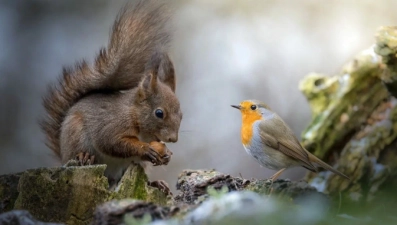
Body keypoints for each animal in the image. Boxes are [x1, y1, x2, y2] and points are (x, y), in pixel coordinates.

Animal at [38, 0, 181, 190]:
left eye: (181, 114)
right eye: (159, 113)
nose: (173, 138)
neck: (134, 115)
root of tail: (62, 155)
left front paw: (167, 155)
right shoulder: (112, 125)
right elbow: (111, 142)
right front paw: (145, 149)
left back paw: (156, 183)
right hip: (75, 136)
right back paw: (84, 157)